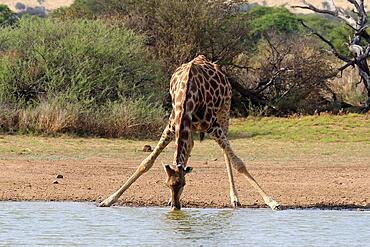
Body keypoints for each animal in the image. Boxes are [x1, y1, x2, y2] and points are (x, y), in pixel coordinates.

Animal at [98, 54, 280, 210]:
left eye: (183, 184)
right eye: (167, 184)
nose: (176, 207)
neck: (187, 98)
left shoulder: (212, 125)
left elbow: (239, 163)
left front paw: (272, 202)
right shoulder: (172, 126)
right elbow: (146, 163)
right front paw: (108, 199)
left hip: (224, 111)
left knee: (225, 153)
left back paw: (234, 198)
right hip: (192, 127)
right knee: (190, 145)